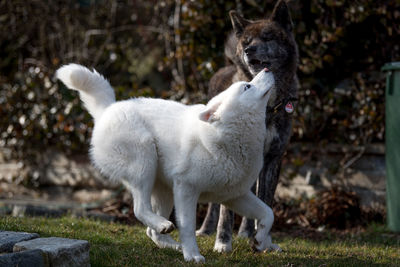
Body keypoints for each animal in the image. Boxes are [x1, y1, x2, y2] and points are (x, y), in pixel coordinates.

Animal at [56, 63, 280, 262]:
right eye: (247, 86)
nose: (267, 68)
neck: (225, 136)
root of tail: (108, 109)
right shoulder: (186, 189)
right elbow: (188, 226)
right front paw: (193, 256)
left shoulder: (235, 196)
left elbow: (268, 214)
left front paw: (260, 241)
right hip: (144, 162)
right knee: (140, 209)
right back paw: (166, 229)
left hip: (164, 191)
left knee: (150, 231)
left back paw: (171, 242)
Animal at [197, 0, 296, 253]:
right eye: (247, 42)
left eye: (268, 37)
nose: (248, 50)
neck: (266, 109)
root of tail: (226, 66)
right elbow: (225, 210)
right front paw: (222, 242)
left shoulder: (272, 159)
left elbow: (266, 201)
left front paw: (263, 240)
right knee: (215, 202)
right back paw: (207, 229)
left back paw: (246, 232)